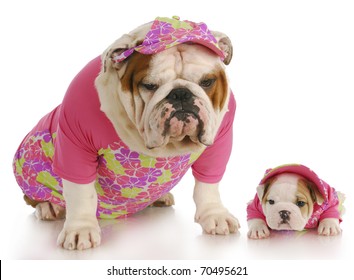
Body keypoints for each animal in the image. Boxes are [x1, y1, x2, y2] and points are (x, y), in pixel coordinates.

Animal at [13, 16, 241, 250]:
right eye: (149, 85)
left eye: (207, 82)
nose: (180, 94)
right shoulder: (75, 141)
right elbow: (81, 193)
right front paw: (80, 229)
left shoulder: (220, 139)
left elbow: (208, 184)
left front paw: (214, 214)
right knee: (35, 197)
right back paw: (49, 207)